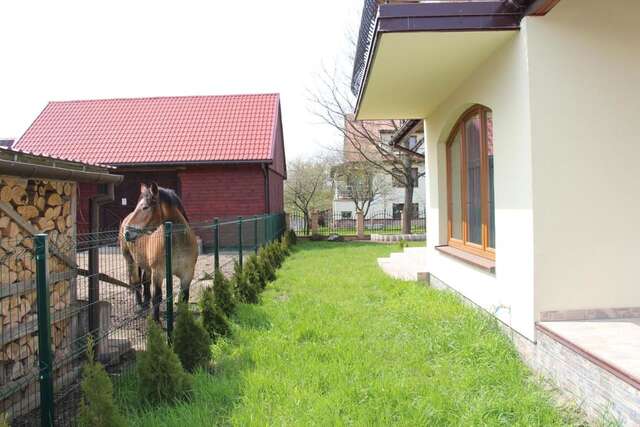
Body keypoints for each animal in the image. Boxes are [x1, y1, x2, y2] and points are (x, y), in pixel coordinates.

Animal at [117, 182, 198, 322]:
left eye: (145, 207)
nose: (127, 232)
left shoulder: (187, 274)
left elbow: (184, 297)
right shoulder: (158, 273)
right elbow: (158, 297)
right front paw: (156, 322)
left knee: (145, 281)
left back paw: (145, 303)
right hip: (131, 261)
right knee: (136, 282)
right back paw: (140, 305)